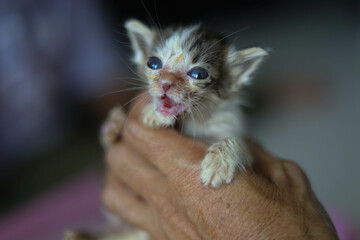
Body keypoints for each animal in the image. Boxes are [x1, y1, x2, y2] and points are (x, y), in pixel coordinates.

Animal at [102, 19, 266, 188]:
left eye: (198, 74)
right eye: (153, 63)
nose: (165, 83)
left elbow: (239, 143)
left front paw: (219, 163)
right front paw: (114, 123)